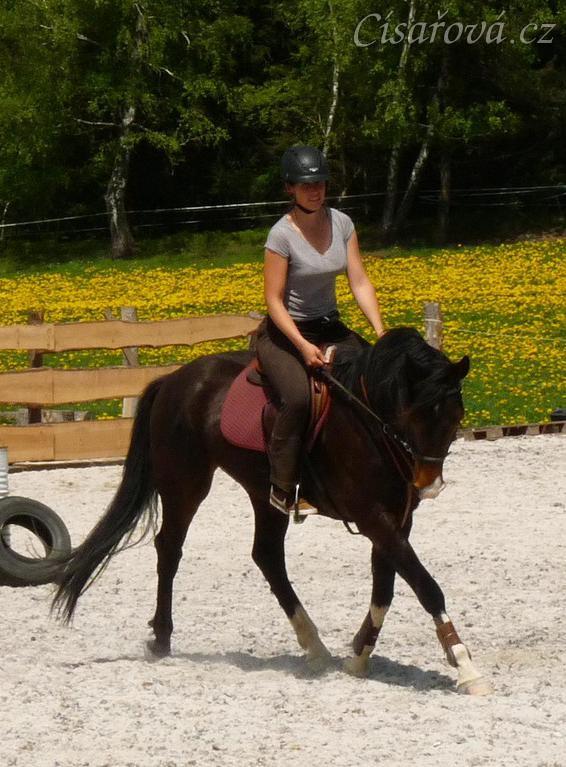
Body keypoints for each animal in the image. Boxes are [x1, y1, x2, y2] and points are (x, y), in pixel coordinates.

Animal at [51, 326, 491, 695]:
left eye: (457, 416)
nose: (429, 484)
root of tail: (173, 380)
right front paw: (464, 664)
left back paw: (315, 647)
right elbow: (425, 585)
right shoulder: (373, 517)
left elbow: (385, 589)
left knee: (266, 556)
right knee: (170, 549)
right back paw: (161, 637)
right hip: (186, 484)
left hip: (265, 494)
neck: (368, 420)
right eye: (415, 412)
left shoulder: (397, 518)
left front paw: (358, 655)